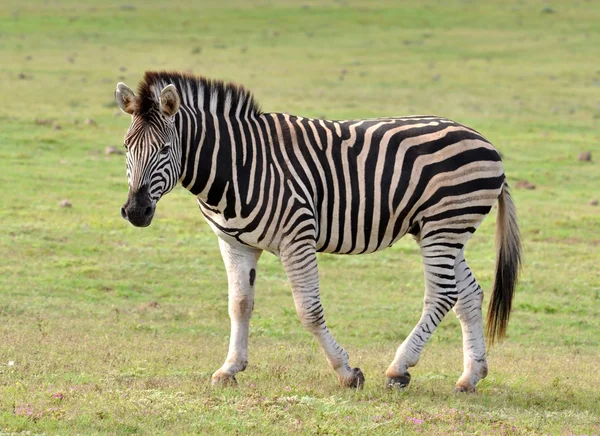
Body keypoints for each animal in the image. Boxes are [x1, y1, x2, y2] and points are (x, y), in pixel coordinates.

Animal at [116, 71, 520, 392]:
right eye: (125, 147)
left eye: (165, 148)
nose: (135, 211)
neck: (237, 164)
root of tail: (485, 141)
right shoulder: (234, 243)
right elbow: (239, 305)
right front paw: (229, 368)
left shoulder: (297, 237)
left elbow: (308, 311)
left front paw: (347, 372)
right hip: (442, 231)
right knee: (469, 295)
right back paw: (471, 376)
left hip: (443, 226)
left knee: (441, 294)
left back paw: (398, 368)